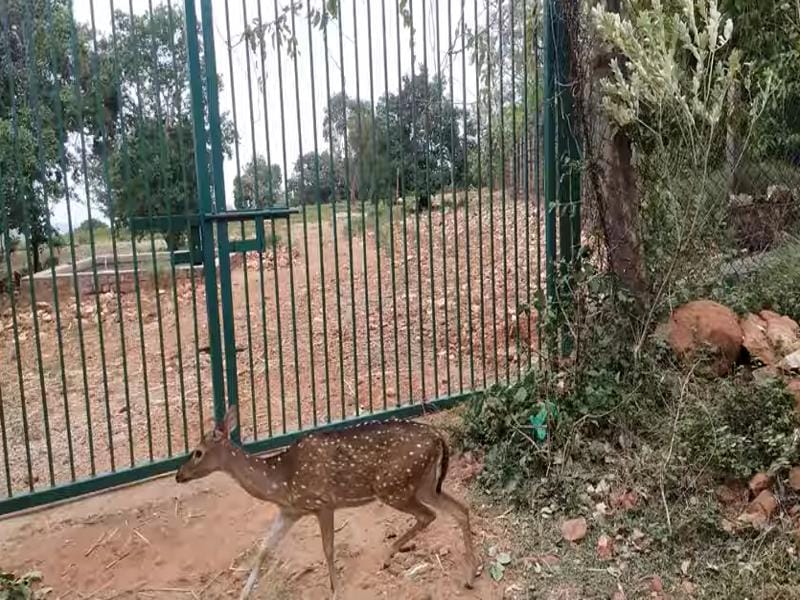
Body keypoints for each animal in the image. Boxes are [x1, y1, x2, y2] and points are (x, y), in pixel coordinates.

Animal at [175, 405, 480, 600]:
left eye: (197, 452)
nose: (179, 475)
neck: (281, 480)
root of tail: (439, 437)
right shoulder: (290, 511)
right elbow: (264, 549)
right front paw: (243, 593)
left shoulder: (323, 503)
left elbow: (328, 549)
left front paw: (335, 590)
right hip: (425, 483)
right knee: (460, 509)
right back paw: (469, 576)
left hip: (395, 486)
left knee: (428, 515)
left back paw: (389, 554)